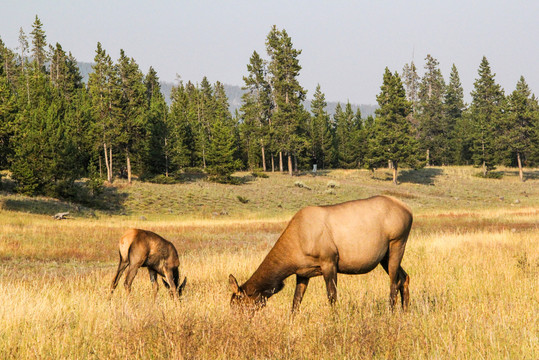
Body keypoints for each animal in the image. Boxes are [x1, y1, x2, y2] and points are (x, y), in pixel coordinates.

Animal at [229, 194, 414, 312]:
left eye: (237, 306)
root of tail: (409, 210)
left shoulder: (329, 261)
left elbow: (332, 297)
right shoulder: (302, 273)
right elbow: (296, 302)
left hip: (397, 243)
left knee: (394, 282)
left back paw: (391, 312)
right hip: (385, 256)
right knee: (404, 277)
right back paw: (404, 312)